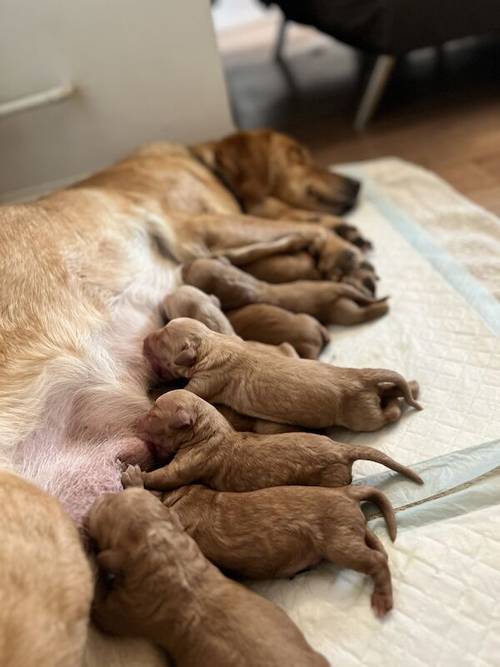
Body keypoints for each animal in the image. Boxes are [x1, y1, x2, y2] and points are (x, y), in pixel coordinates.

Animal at [123, 472, 396, 620]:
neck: (185, 493)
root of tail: (346, 492)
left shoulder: (177, 519)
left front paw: (133, 478)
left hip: (339, 543)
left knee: (376, 561)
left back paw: (382, 598)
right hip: (348, 535)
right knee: (377, 552)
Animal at [132, 392, 422, 490]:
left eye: (153, 414)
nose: (136, 421)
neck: (209, 430)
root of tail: (342, 448)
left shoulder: (196, 461)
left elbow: (167, 476)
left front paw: (135, 476)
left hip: (331, 479)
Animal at [144, 320, 422, 434]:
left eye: (160, 339)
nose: (144, 338)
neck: (211, 344)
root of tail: (360, 376)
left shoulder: (210, 379)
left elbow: (188, 391)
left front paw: (160, 391)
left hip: (363, 416)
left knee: (387, 414)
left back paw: (399, 404)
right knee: (390, 391)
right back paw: (413, 385)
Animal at [182, 258, 388, 326]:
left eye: (190, 270)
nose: (182, 266)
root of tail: (338, 289)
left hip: (343, 311)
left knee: (363, 314)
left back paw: (383, 308)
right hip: (346, 299)